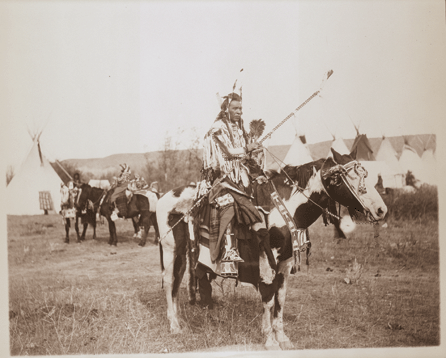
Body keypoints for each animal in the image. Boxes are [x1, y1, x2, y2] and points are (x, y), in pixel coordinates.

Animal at [155, 148, 386, 350]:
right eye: (351, 178)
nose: (381, 210)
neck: (284, 207)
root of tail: (164, 197)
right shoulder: (267, 259)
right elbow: (267, 297)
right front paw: (269, 339)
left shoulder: (285, 261)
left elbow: (280, 297)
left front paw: (282, 337)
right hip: (170, 249)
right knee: (169, 282)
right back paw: (173, 325)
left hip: (183, 252)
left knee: (177, 281)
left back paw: (178, 320)